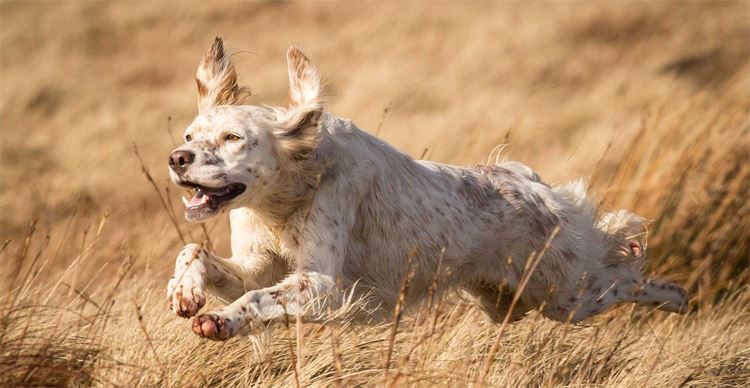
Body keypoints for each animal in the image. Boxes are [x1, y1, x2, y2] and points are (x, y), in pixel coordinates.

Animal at [167, 38, 692, 340]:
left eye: (233, 138)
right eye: (190, 135)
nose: (177, 159)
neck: (287, 194)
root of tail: (529, 182)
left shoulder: (322, 286)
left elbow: (258, 299)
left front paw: (220, 319)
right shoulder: (257, 264)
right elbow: (196, 251)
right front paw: (185, 291)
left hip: (566, 292)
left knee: (629, 277)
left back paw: (677, 298)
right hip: (512, 302)